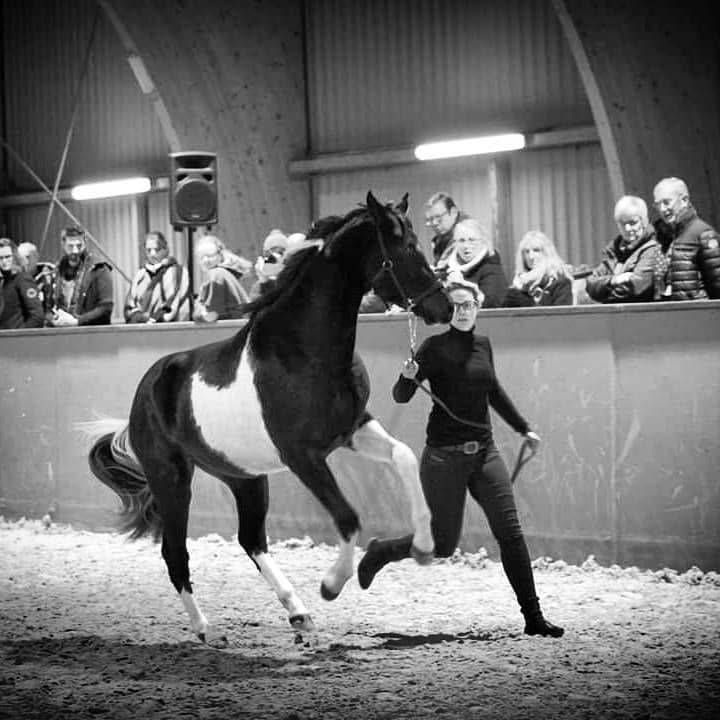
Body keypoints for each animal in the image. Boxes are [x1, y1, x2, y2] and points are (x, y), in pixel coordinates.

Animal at [82, 191, 451, 643]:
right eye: (407, 249)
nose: (445, 307)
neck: (304, 351)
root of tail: (145, 393)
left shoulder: (351, 429)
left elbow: (404, 456)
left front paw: (423, 546)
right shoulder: (304, 456)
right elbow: (348, 517)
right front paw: (331, 585)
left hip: (243, 477)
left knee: (251, 540)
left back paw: (299, 615)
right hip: (172, 478)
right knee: (176, 552)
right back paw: (208, 630)